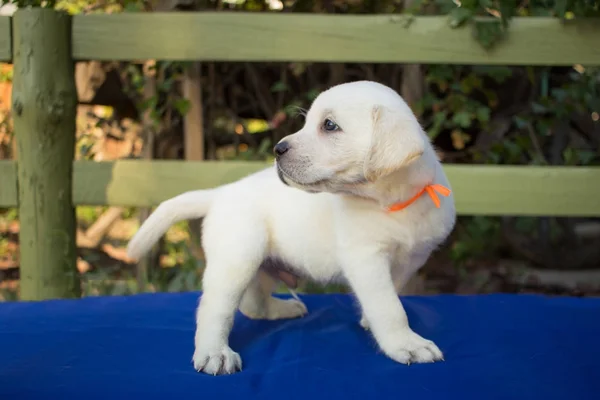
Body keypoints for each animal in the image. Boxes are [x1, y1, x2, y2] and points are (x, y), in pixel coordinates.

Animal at [126, 80, 454, 376]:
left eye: (329, 125)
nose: (278, 149)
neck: (393, 204)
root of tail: (219, 193)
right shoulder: (366, 258)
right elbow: (389, 307)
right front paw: (407, 344)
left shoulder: (412, 259)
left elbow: (392, 292)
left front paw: (370, 322)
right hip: (237, 258)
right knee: (214, 309)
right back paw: (214, 353)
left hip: (262, 265)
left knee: (253, 304)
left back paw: (283, 309)